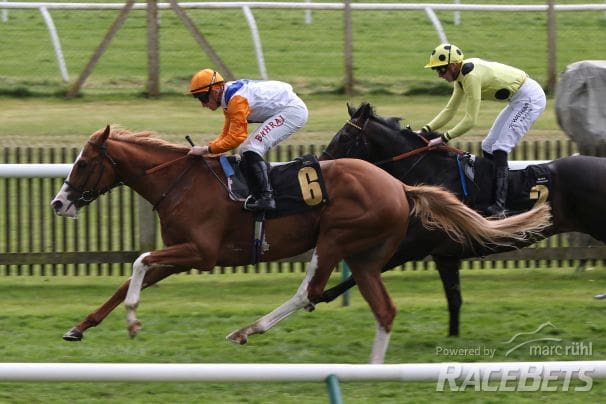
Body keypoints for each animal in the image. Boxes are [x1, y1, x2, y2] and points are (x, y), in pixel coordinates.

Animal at [50, 124, 552, 362]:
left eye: (84, 163)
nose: (58, 203)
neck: (180, 182)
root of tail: (400, 186)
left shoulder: (202, 253)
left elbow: (137, 261)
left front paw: (134, 321)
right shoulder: (179, 256)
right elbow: (128, 279)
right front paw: (79, 327)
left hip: (336, 237)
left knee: (309, 292)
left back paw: (248, 330)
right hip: (364, 256)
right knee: (381, 308)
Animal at [318, 102, 606, 336]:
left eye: (344, 136)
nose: (320, 164)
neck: (433, 173)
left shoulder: (414, 246)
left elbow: (366, 271)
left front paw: (321, 295)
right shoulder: (445, 254)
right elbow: (454, 300)